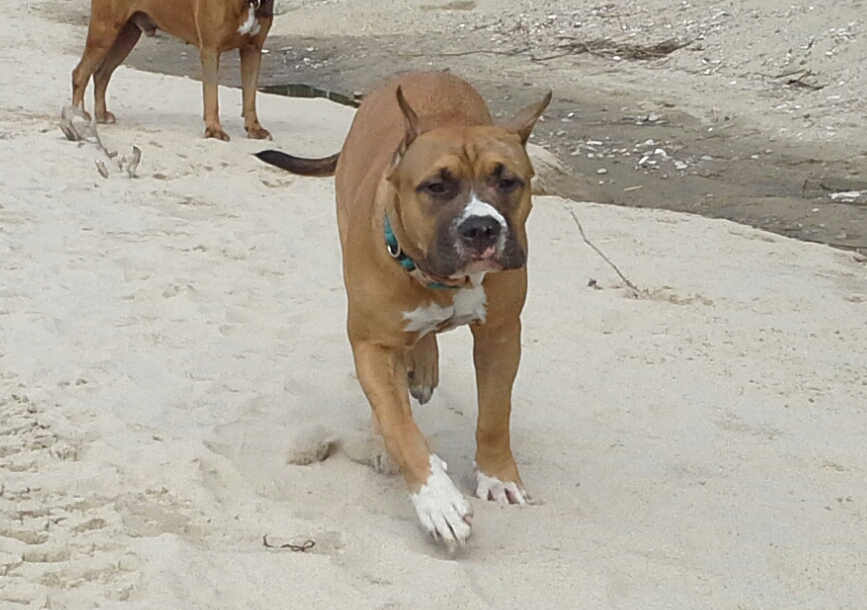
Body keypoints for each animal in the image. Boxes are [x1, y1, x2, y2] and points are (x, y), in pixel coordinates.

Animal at [71, 0, 275, 141]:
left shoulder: (253, 50)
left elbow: (250, 96)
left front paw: (254, 128)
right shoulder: (210, 50)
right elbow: (212, 95)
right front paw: (214, 129)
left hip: (128, 34)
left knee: (102, 73)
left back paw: (101, 115)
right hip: (104, 30)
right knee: (81, 72)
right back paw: (78, 115)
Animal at [257, 72, 550, 549]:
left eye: (508, 181)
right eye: (436, 187)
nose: (481, 228)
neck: (443, 281)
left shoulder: (502, 335)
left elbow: (495, 412)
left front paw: (497, 475)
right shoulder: (372, 346)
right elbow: (399, 425)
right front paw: (437, 499)